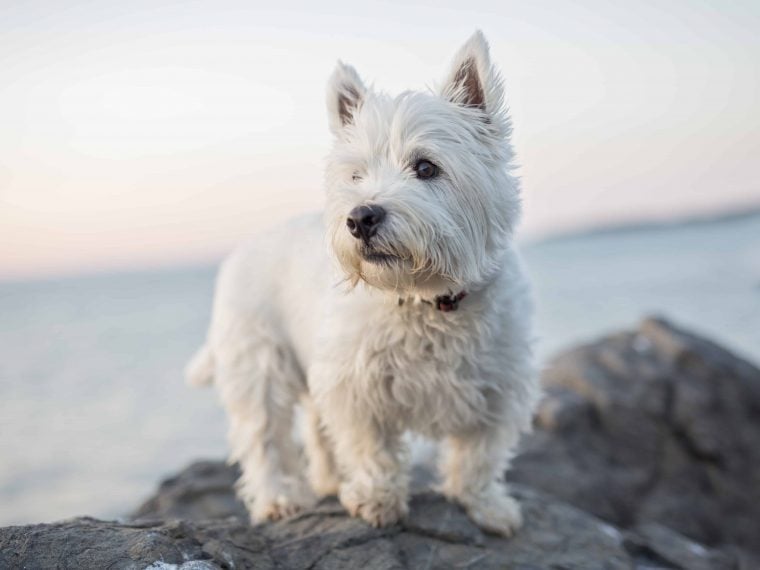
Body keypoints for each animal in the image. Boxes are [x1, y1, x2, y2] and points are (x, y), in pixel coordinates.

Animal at [186, 31, 536, 536]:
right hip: (258, 361)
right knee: (264, 436)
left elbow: (479, 455)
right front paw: (377, 500)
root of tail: (241, 249)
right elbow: (372, 448)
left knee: (314, 428)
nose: (360, 217)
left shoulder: (499, 386)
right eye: (356, 174)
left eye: (426, 167)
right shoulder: (354, 385)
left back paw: (330, 482)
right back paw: (278, 500)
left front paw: (486, 506)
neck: (424, 299)